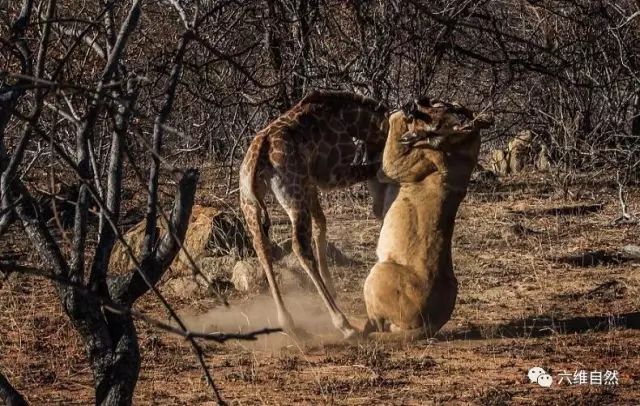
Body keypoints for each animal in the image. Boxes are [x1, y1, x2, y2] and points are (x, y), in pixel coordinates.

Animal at [240, 90, 388, 338]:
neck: (347, 118)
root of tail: (259, 154)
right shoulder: (330, 175)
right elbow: (374, 167)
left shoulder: (309, 183)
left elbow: (322, 223)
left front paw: (331, 285)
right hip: (293, 198)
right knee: (299, 247)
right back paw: (343, 324)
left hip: (249, 203)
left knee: (261, 246)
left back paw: (288, 322)